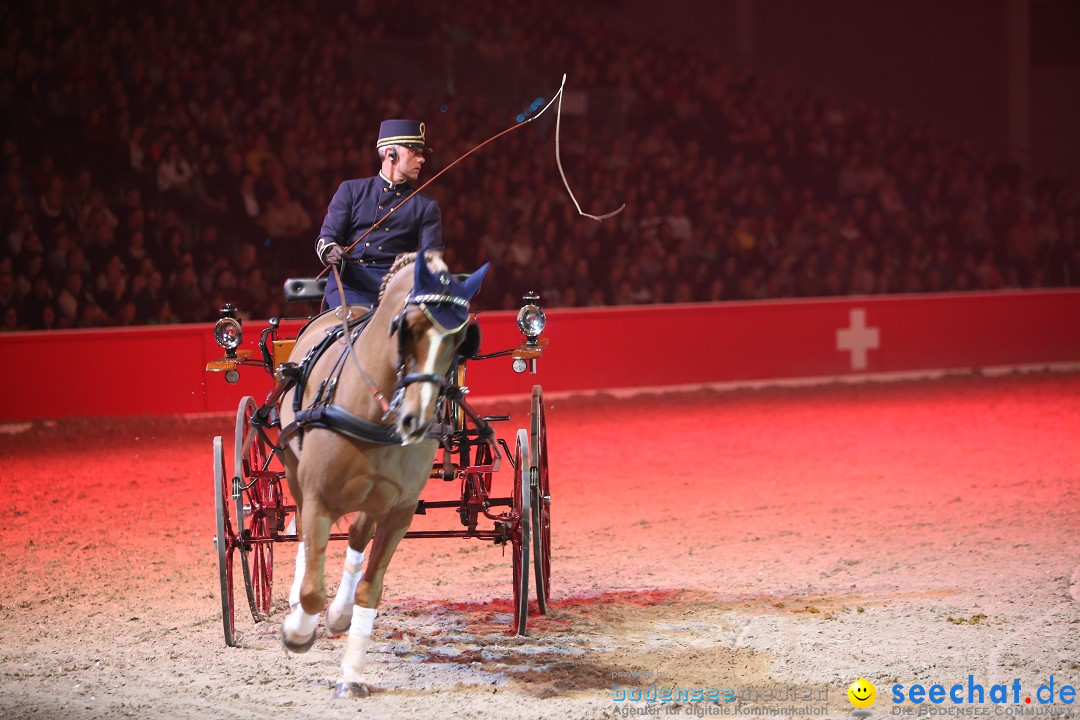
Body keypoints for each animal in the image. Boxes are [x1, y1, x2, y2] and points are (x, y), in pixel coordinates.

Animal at [278, 253, 486, 699]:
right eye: (410, 327)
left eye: (461, 340)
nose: (416, 420)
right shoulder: (319, 498)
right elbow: (312, 589)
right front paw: (297, 633)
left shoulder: (398, 513)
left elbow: (370, 589)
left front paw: (352, 673)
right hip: (291, 466)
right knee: (303, 533)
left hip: (373, 497)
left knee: (358, 535)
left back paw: (340, 613)